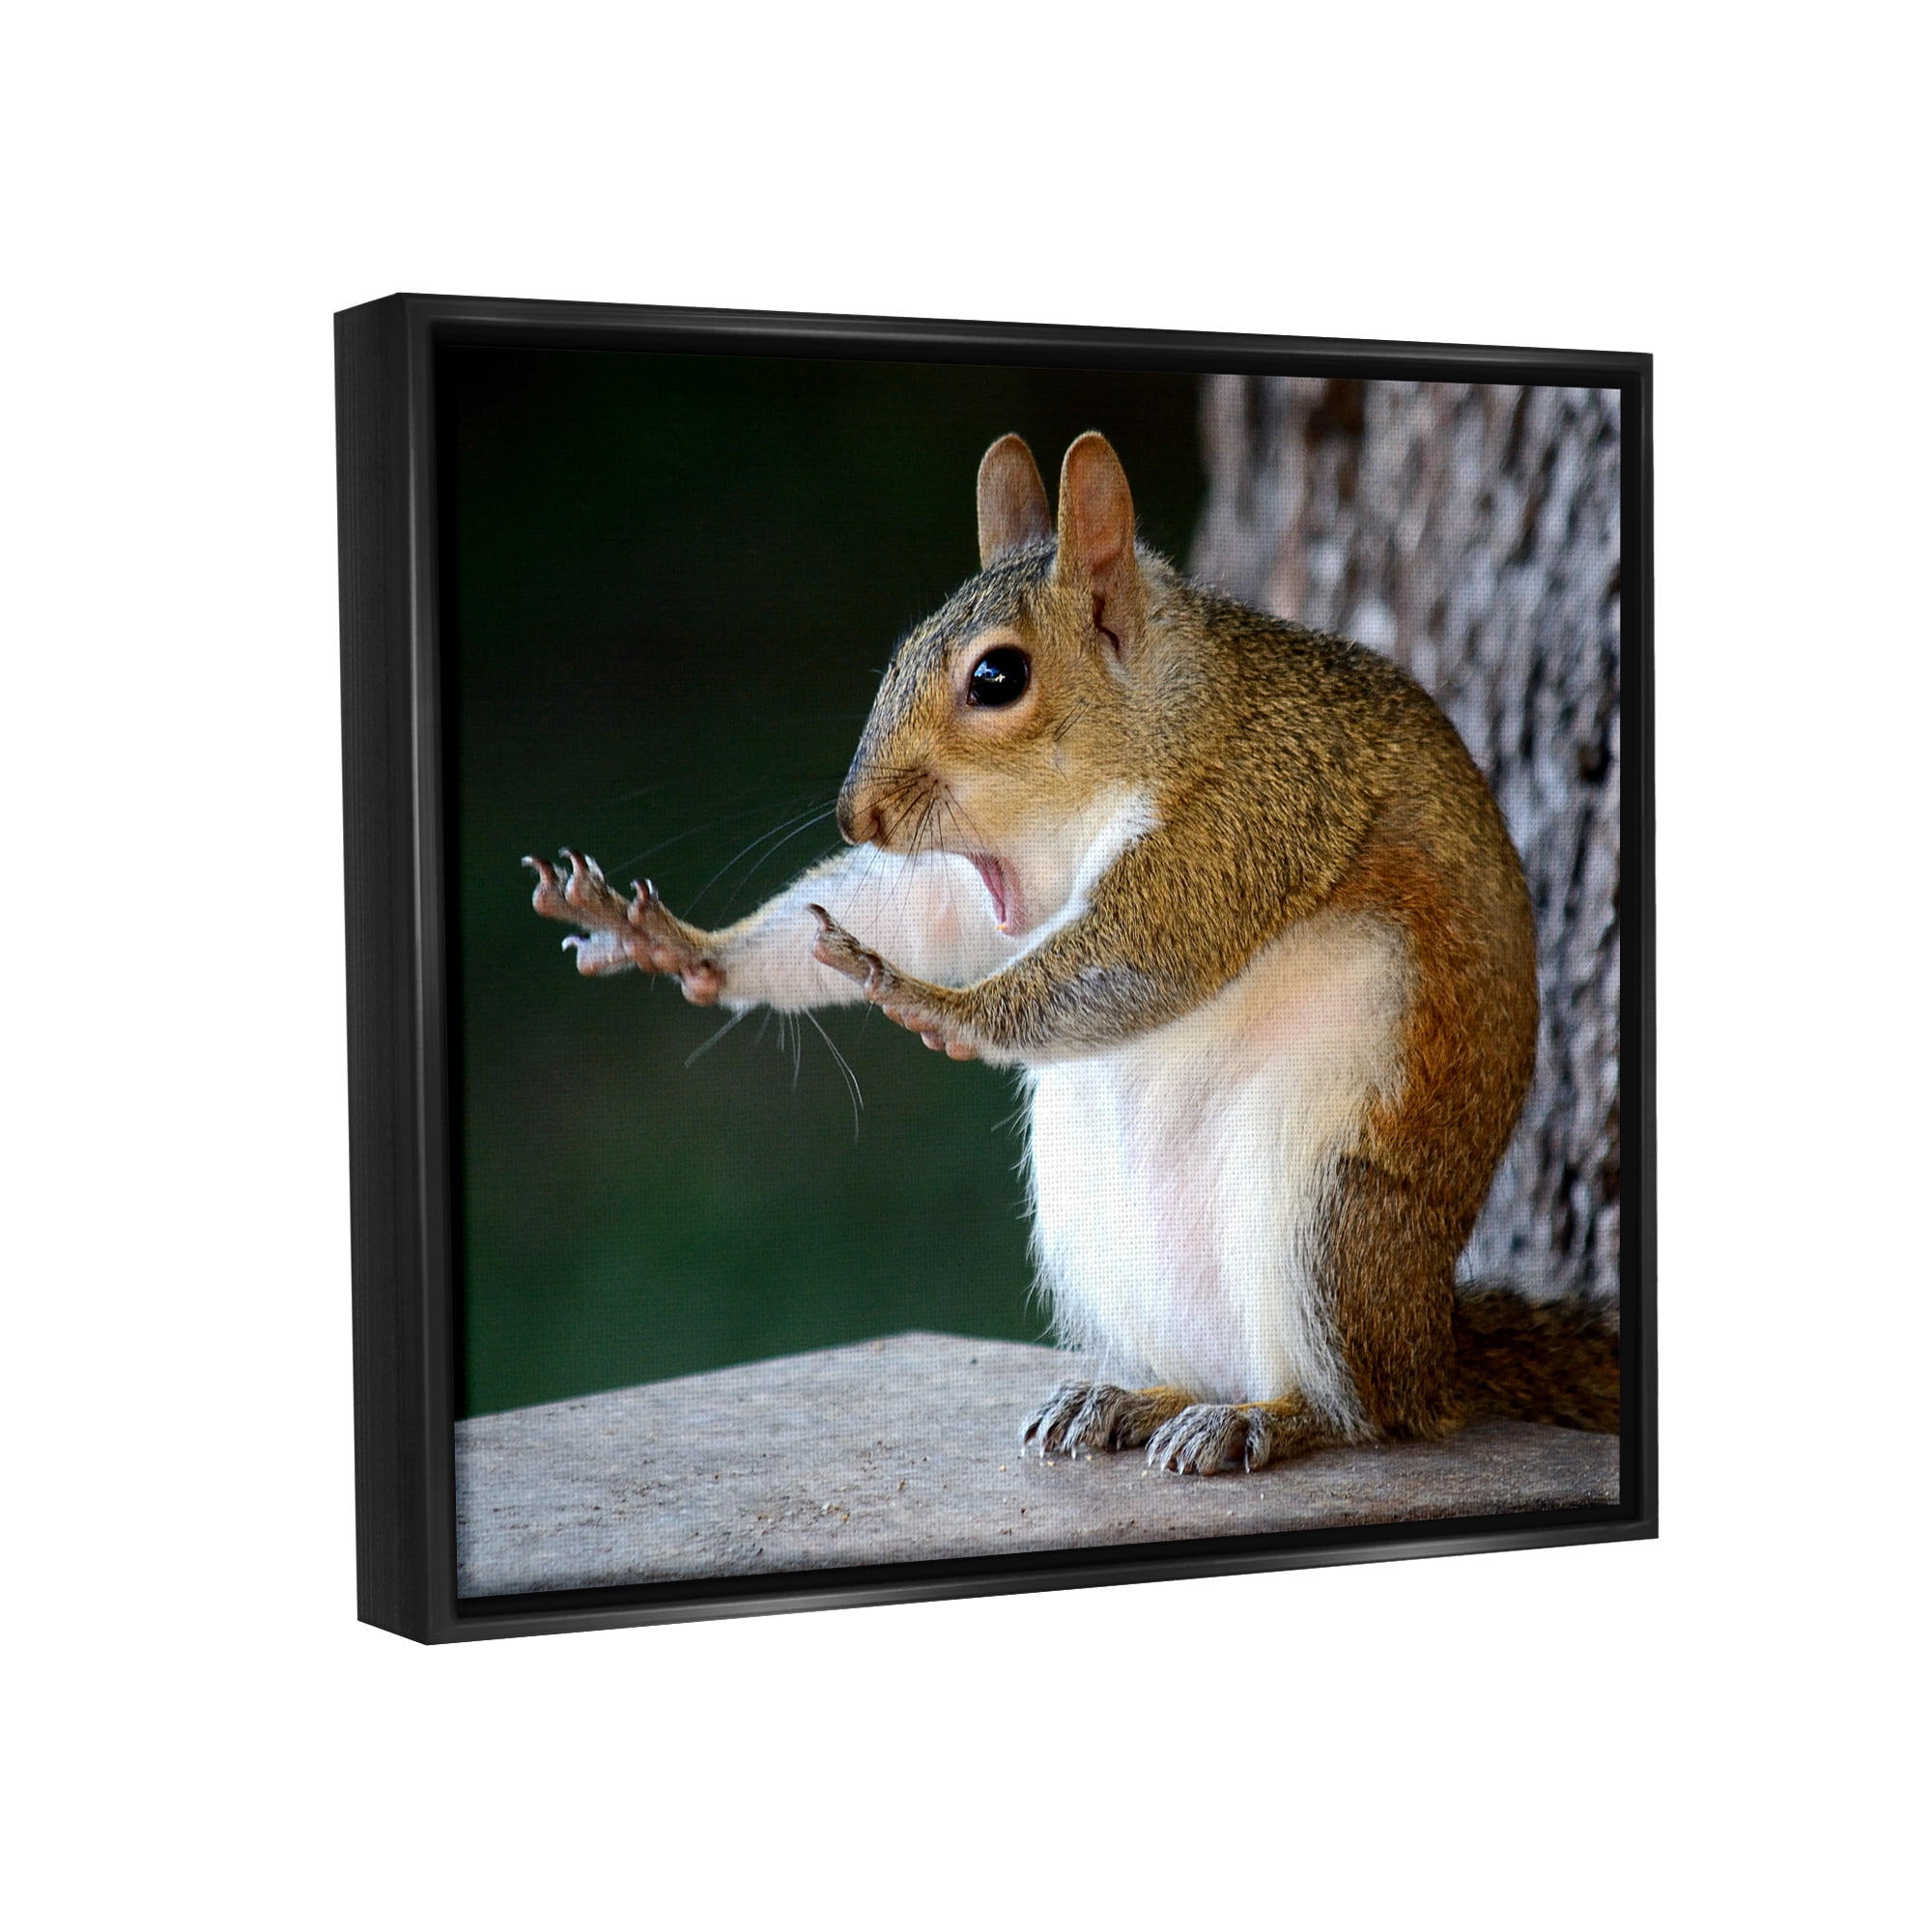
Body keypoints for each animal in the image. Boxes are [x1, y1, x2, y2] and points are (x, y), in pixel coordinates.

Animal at [526, 430, 1619, 1475]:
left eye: (996, 676)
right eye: (900, 652)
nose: (857, 814)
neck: (1155, 727)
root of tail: (1432, 1350)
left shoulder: (1253, 810)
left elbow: (1144, 953)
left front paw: (931, 1002)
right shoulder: (977, 880)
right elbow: (909, 907)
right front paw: (681, 945)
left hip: (1328, 1223)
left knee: (1360, 1411)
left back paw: (1264, 1420)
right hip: (1102, 1228)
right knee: (1204, 1366)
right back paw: (1130, 1399)